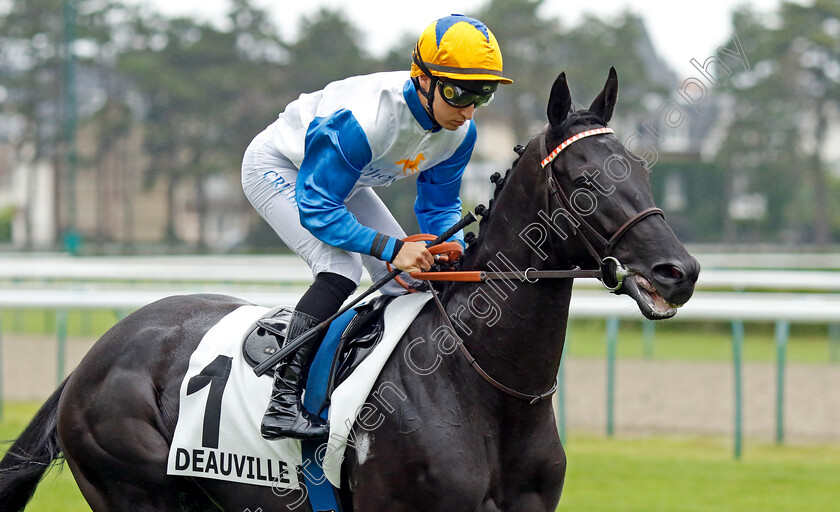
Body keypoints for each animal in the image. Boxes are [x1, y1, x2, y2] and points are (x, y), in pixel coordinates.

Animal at [0, 69, 696, 512]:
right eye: (582, 178)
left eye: (637, 169)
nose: (678, 271)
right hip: (136, 491)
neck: (485, 387)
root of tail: (95, 354)